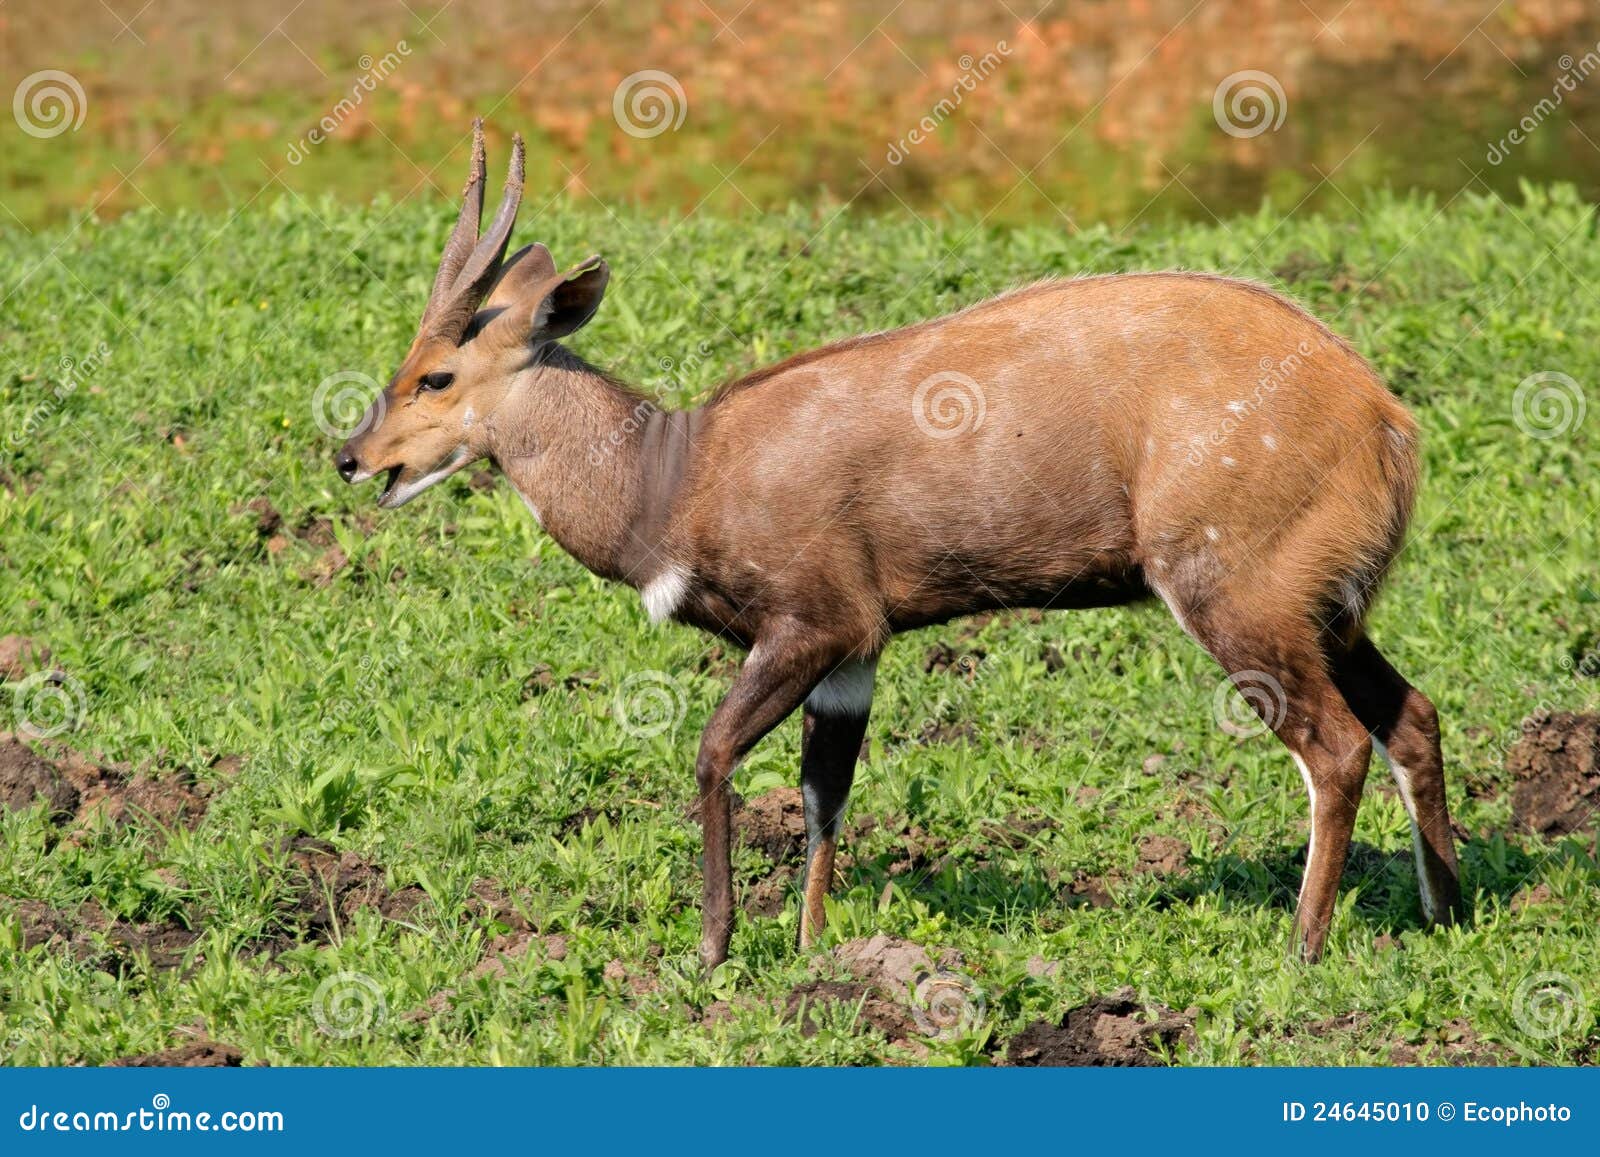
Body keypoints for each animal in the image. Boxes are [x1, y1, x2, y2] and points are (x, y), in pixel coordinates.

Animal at [337, 124, 1465, 966]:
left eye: (437, 374)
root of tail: (1388, 422)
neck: (673, 478)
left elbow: (713, 751)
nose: (351, 456)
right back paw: (1443, 909)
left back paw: (1303, 946)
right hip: (1325, 604)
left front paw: (714, 947)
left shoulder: (813, 618)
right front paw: (812, 947)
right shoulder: (859, 648)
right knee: (1411, 714)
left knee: (1336, 744)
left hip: (1234, 588)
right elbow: (822, 790)